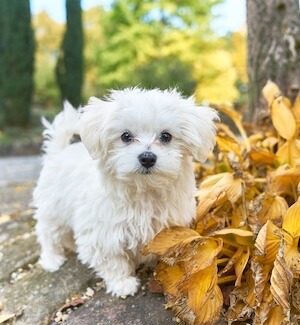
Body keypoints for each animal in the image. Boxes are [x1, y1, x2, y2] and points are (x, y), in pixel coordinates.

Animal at [33, 88, 218, 296]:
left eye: (166, 136)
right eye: (126, 136)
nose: (147, 158)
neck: (144, 191)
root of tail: (58, 153)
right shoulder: (103, 234)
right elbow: (113, 260)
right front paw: (122, 283)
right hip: (53, 210)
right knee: (47, 233)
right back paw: (52, 259)